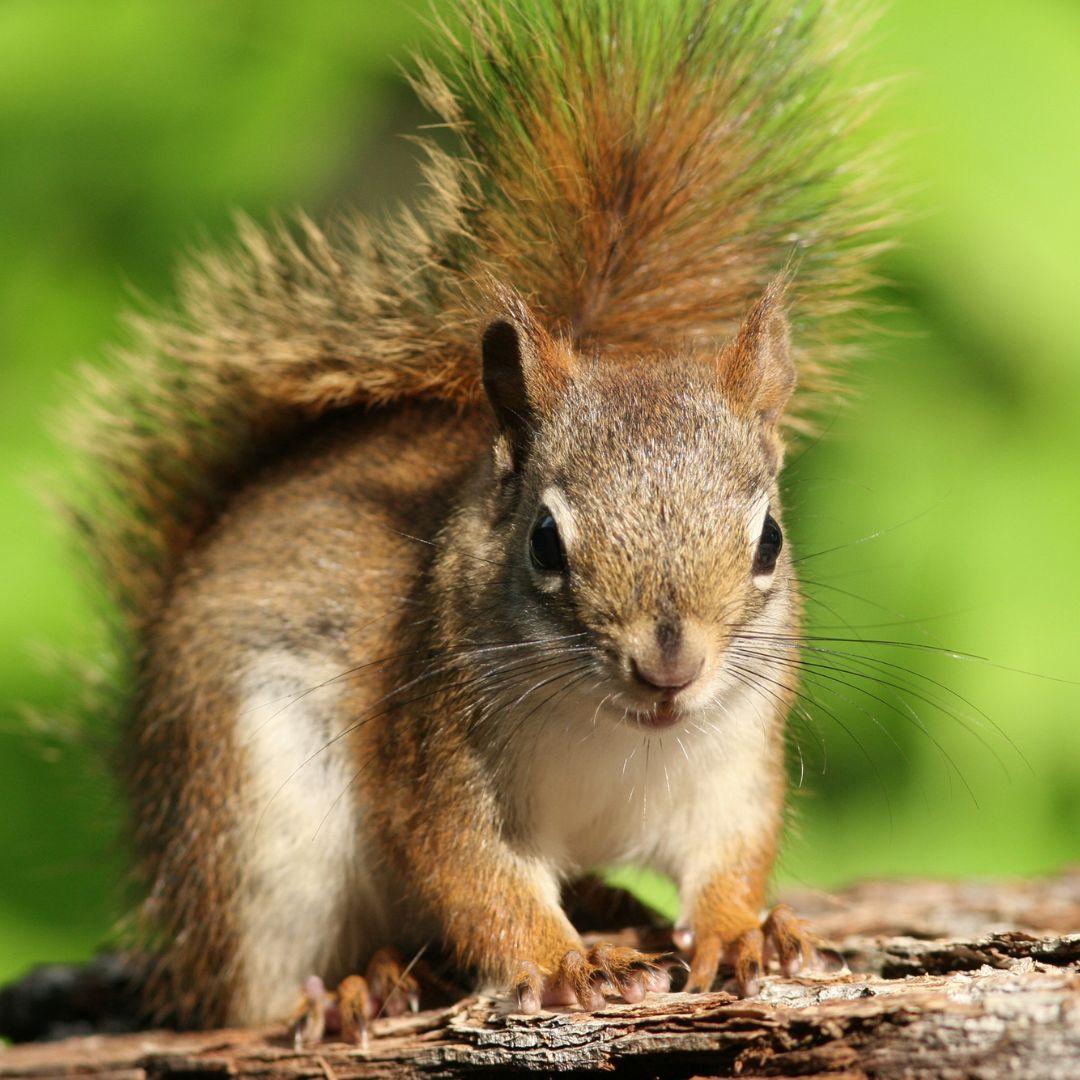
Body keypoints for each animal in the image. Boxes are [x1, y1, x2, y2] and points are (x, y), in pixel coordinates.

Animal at [59, 0, 881, 1032]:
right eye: (544, 541)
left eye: (769, 539)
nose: (669, 667)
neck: (615, 732)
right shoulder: (434, 746)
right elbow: (470, 874)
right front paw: (566, 962)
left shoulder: (732, 759)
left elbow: (733, 853)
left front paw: (742, 932)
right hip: (254, 822)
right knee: (251, 991)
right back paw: (360, 985)